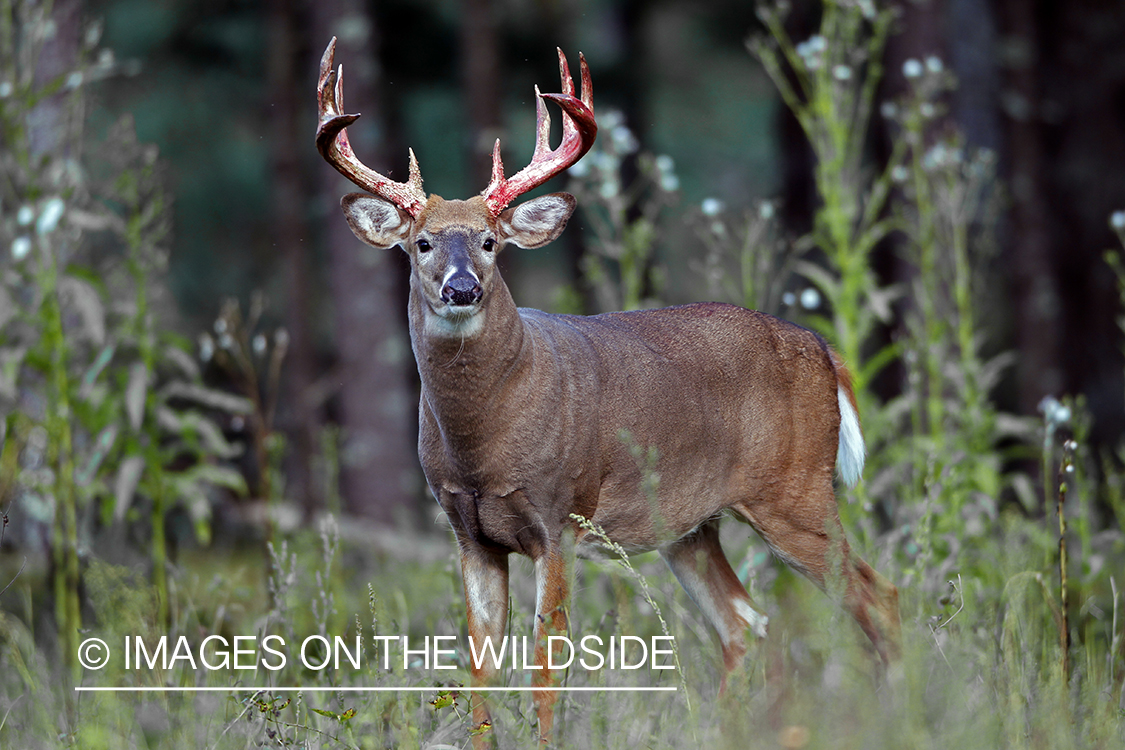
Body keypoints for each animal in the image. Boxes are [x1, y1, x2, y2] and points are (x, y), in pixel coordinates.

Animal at [312, 36, 900, 746]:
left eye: (490, 242)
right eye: (421, 242)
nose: (461, 288)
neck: (483, 442)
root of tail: (824, 350)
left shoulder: (561, 514)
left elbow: (547, 662)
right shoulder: (467, 531)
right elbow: (480, 667)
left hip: (796, 492)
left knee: (878, 599)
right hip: (691, 526)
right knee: (747, 625)